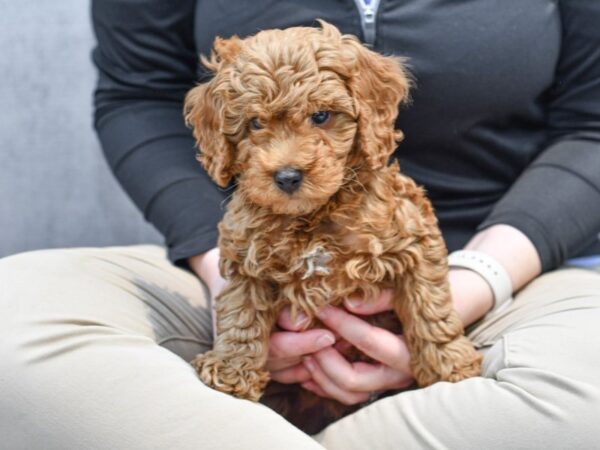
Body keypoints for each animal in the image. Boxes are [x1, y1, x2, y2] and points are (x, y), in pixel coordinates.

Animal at [185, 20, 480, 432]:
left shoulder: (415, 236)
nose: (287, 176)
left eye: (321, 116)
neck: (314, 215)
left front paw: (449, 363)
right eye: (255, 123)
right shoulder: (247, 257)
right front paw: (231, 369)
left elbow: (429, 304)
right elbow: (240, 310)